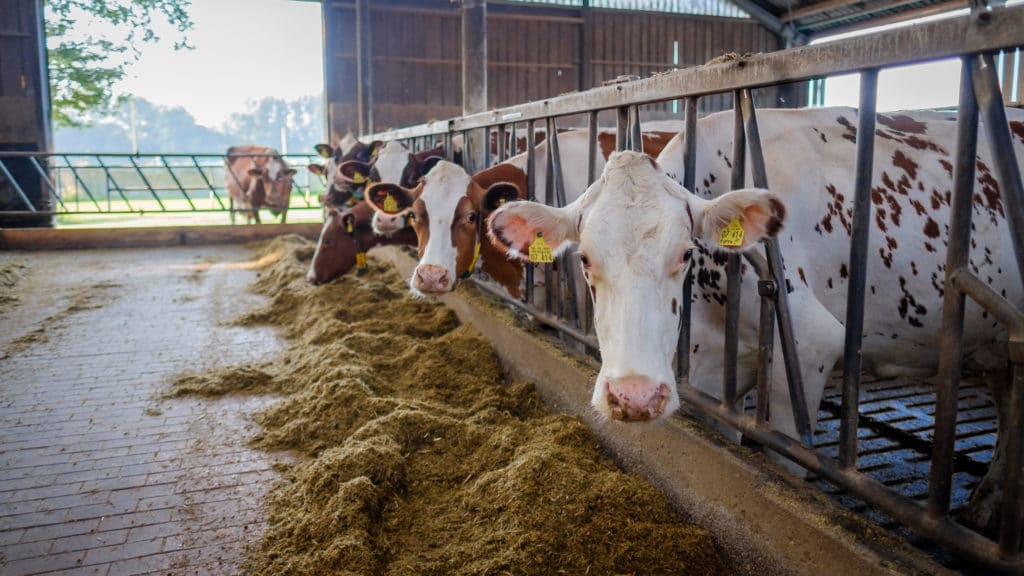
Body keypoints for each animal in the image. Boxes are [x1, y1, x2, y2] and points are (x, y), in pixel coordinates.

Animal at [485, 108, 1024, 532]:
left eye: (685, 253)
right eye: (584, 259)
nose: (634, 397)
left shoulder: (808, 348)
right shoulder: (714, 377)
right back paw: (987, 503)